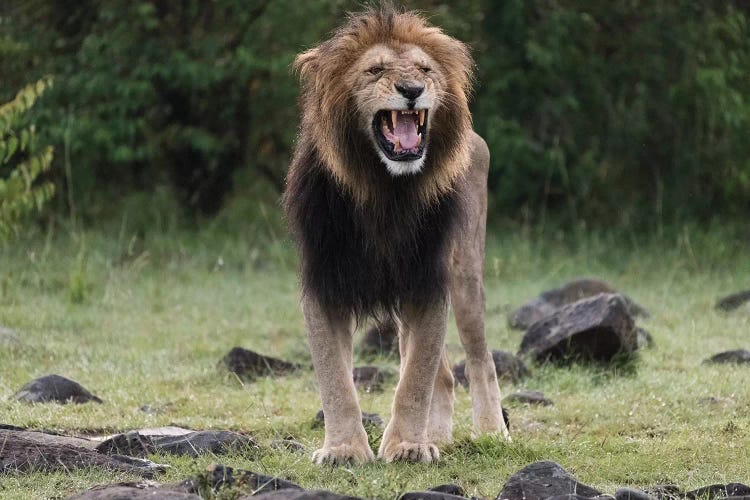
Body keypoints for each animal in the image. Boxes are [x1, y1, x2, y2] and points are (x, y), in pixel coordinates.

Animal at [282, 4, 512, 464]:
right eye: (375, 70)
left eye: (425, 69)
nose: (412, 89)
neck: (385, 192)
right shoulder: (323, 281)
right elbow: (335, 379)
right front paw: (343, 450)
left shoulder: (428, 280)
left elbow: (415, 378)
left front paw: (407, 446)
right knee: (445, 375)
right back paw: (438, 436)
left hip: (465, 276)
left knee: (479, 358)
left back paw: (491, 433)